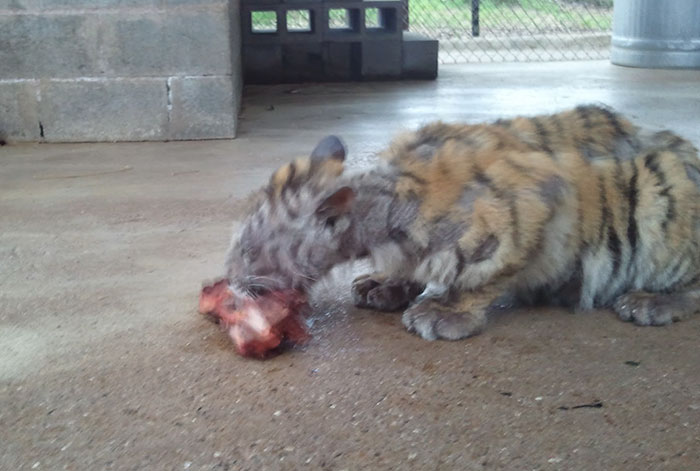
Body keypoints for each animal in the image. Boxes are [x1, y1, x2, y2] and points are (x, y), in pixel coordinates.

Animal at [224, 105, 700, 341]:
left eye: (247, 250)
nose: (228, 281)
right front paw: (384, 284)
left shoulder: (525, 216)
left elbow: (479, 279)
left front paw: (444, 313)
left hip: (660, 194)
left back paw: (652, 303)